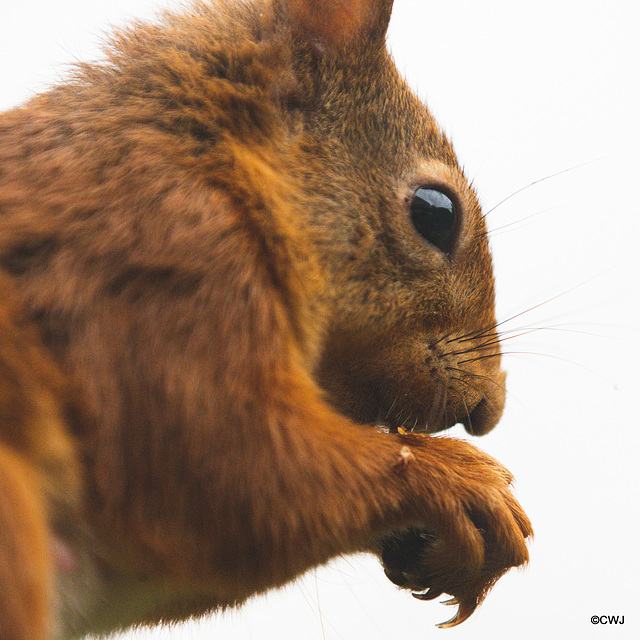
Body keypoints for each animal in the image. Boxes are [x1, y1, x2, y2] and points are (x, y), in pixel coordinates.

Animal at [0, 2, 528, 636]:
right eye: (436, 212)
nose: (488, 410)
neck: (212, 163)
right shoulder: (163, 268)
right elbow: (238, 479)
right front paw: (463, 480)